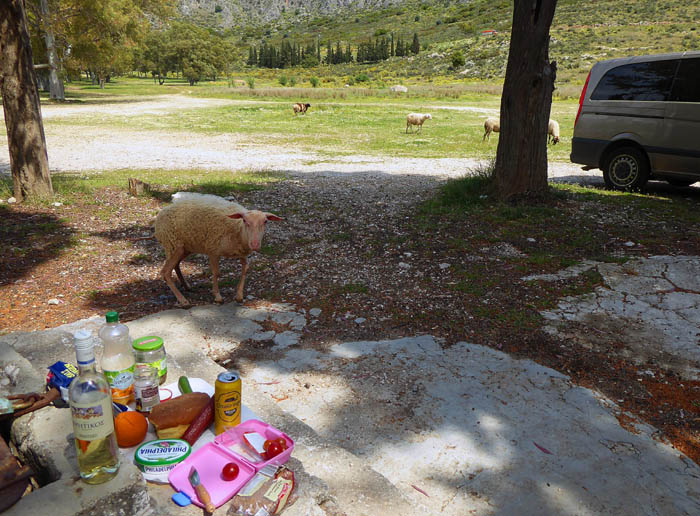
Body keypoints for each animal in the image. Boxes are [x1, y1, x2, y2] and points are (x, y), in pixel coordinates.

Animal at [154, 194, 284, 306]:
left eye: (265, 221)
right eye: (245, 221)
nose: (255, 244)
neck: (238, 230)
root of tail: (160, 214)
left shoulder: (241, 252)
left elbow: (245, 269)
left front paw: (239, 295)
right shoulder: (213, 250)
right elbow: (216, 273)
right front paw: (217, 296)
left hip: (185, 247)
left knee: (176, 265)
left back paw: (186, 286)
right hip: (173, 244)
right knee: (165, 272)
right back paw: (183, 300)